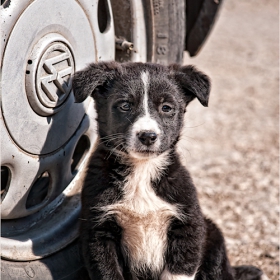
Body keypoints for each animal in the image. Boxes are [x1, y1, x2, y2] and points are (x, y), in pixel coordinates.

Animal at [72, 61, 264, 280]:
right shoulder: (98, 232)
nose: (148, 136)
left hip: (214, 240)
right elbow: (108, 273)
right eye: (125, 105)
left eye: (166, 108)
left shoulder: (188, 226)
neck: (142, 171)